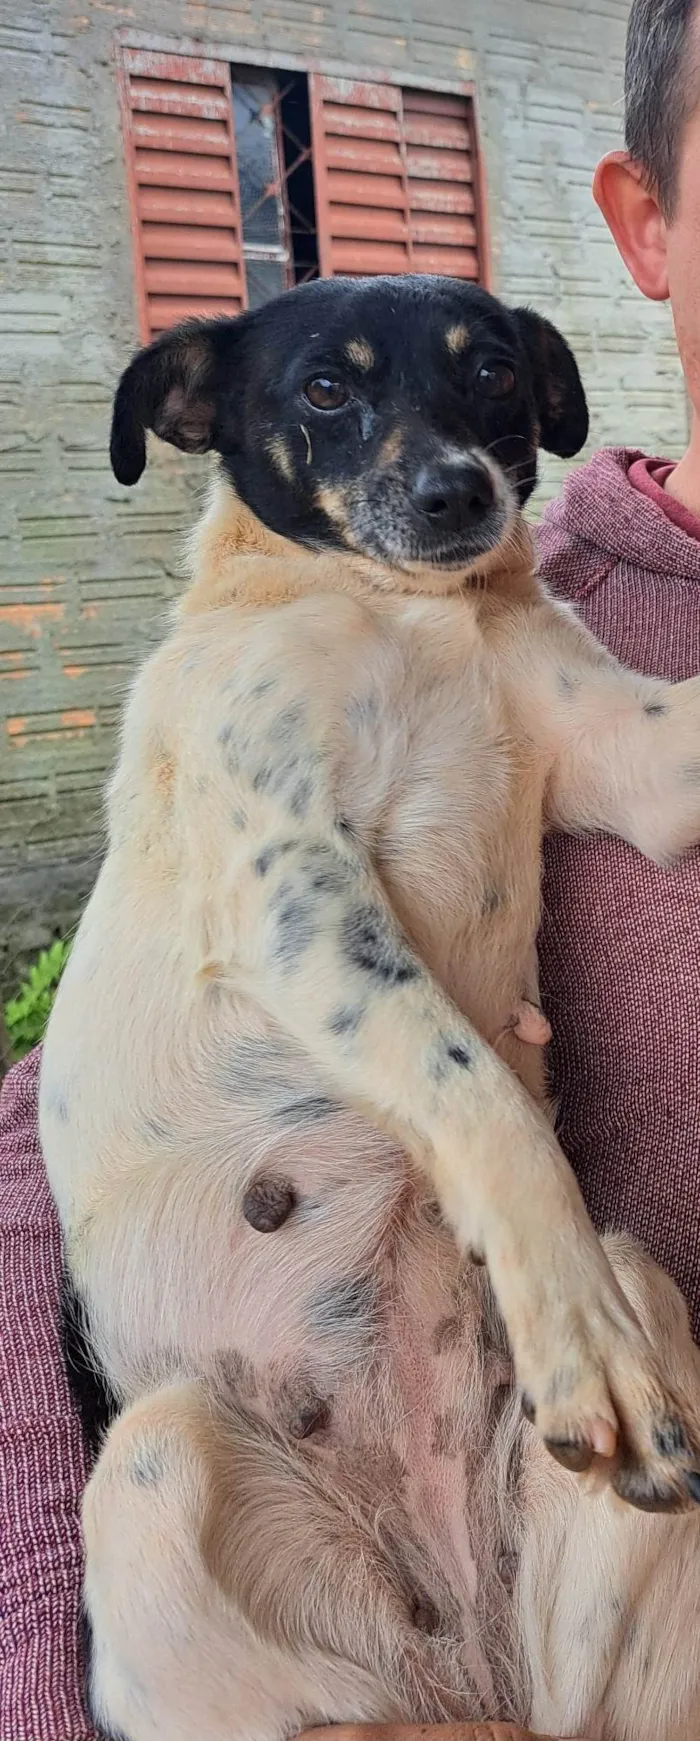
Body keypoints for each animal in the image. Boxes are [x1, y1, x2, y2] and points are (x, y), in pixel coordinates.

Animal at [39, 271, 700, 1741]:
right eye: (326, 388)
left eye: (494, 369)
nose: (461, 495)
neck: (405, 609)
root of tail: (458, 1656)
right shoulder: (296, 890)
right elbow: (487, 1100)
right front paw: (577, 1342)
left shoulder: (626, 751)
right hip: (157, 1457)